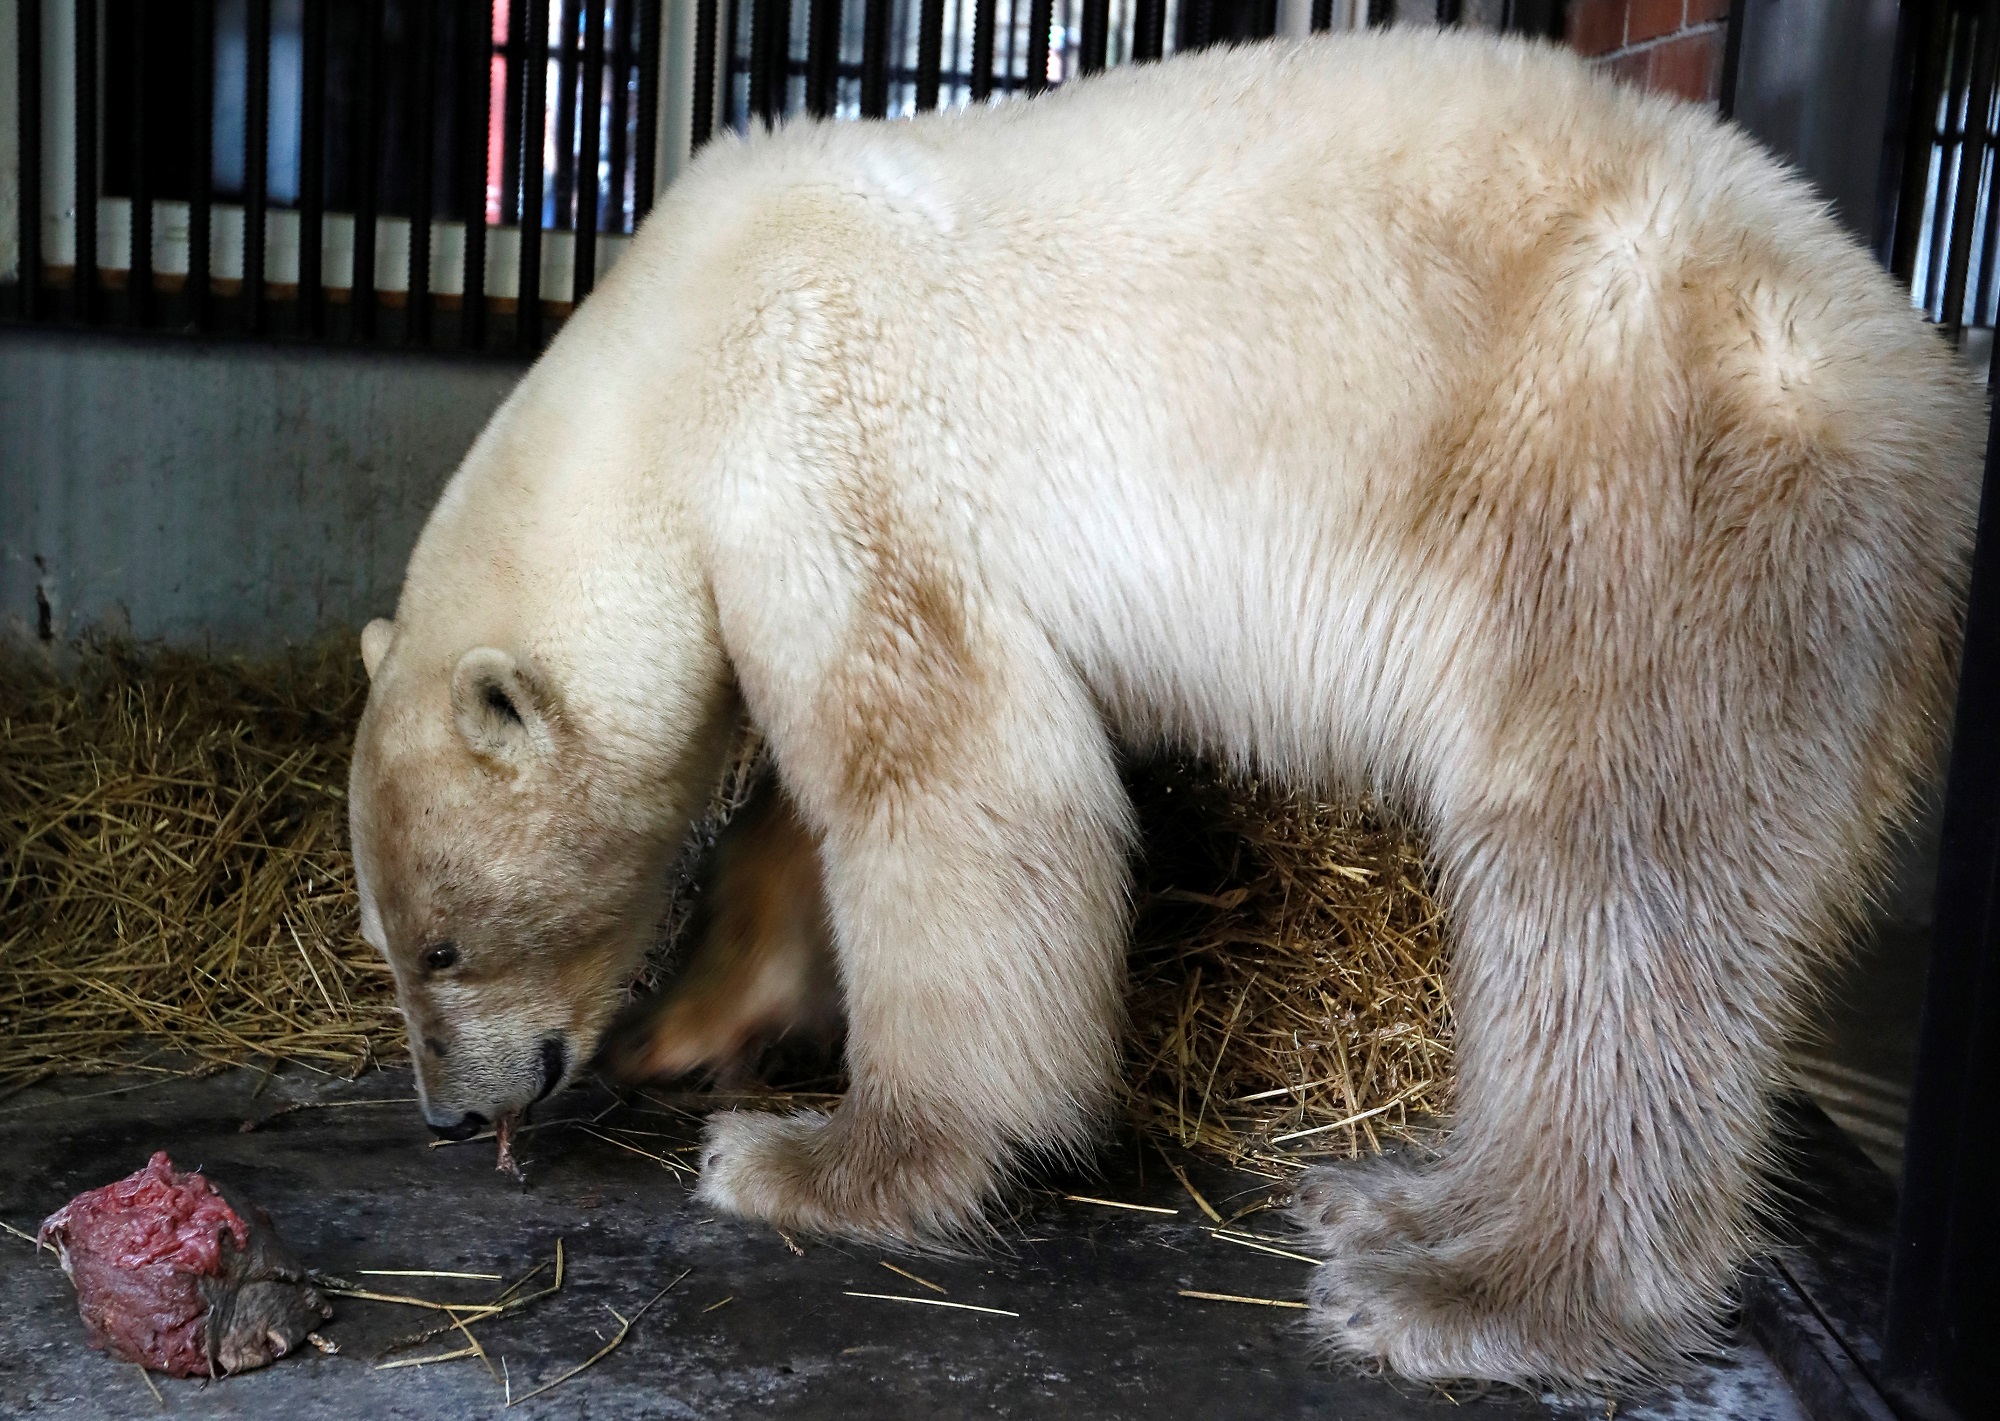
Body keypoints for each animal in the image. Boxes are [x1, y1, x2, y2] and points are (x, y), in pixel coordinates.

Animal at [348, 30, 1984, 1392]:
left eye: (441, 944)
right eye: (390, 939)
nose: (445, 1114)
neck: (672, 351)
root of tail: (1922, 401)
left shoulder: (826, 443)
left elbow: (950, 780)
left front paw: (818, 1160)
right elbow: (819, 824)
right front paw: (693, 1025)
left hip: (1643, 518)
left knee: (1610, 896)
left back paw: (1465, 1291)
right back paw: (1389, 1198)